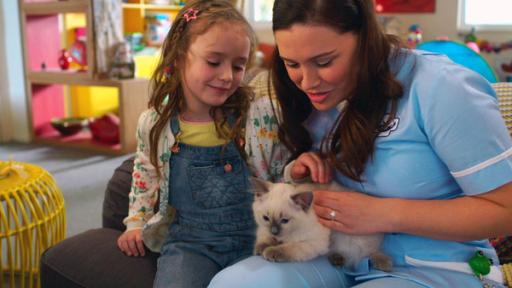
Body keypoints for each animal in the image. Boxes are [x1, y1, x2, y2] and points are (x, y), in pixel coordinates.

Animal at [252, 179, 392, 272]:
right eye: (266, 218)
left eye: (285, 220)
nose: (274, 231)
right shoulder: (263, 229)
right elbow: (263, 238)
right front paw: (260, 249)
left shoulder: (313, 243)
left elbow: (288, 247)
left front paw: (270, 251)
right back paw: (337, 260)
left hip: (348, 239)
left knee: (366, 254)